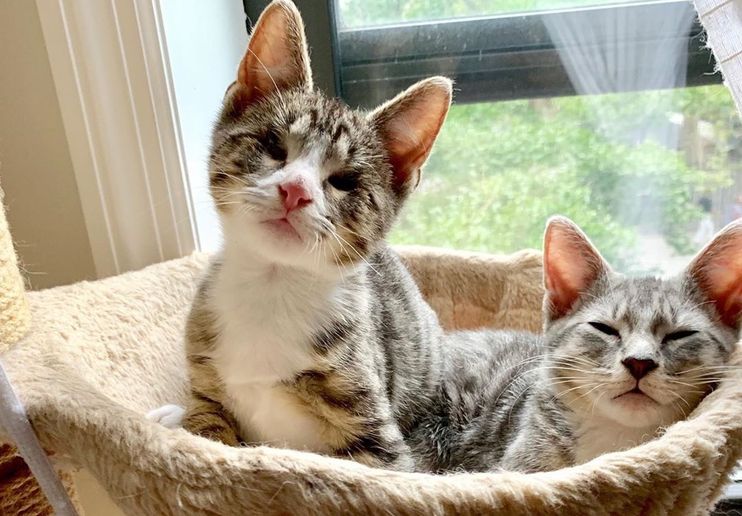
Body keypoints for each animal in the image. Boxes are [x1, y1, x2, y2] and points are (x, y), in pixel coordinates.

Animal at [150, 0, 450, 472]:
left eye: (344, 180)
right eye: (274, 145)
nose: (295, 190)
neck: (273, 289)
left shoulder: (376, 436)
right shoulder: (207, 388)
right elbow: (207, 436)